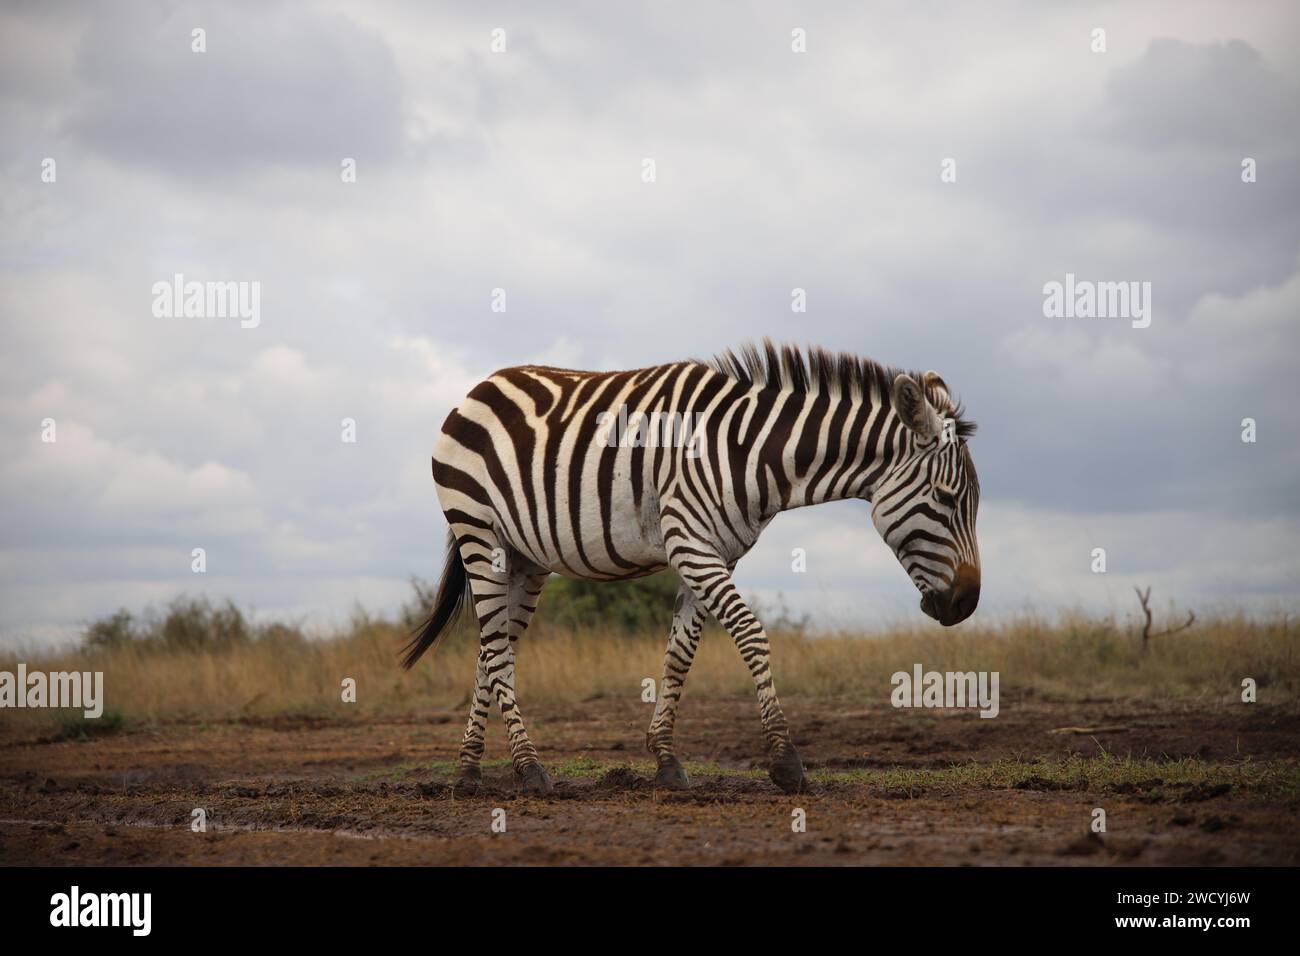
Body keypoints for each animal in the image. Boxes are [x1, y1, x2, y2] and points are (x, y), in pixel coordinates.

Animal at [400, 340, 977, 796]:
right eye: (947, 499)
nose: (966, 603)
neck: (749, 452)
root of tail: (483, 385)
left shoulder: (715, 552)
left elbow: (680, 655)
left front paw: (665, 759)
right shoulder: (690, 544)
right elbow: (751, 634)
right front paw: (786, 762)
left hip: (525, 556)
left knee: (491, 650)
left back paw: (469, 772)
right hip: (478, 530)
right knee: (496, 649)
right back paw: (530, 770)